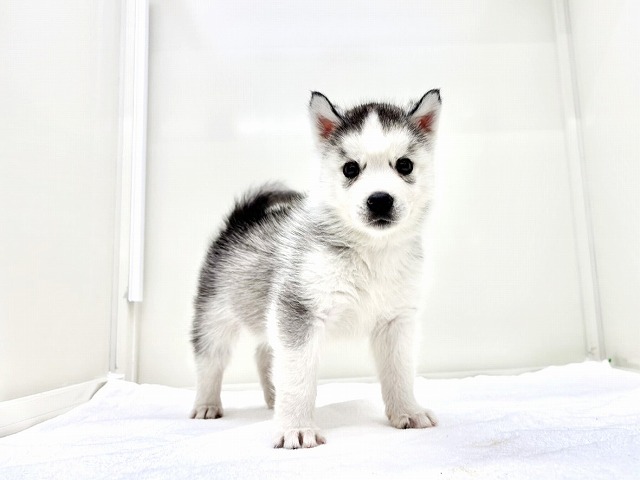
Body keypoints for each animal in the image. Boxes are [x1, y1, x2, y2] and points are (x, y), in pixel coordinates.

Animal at [190, 90, 442, 449]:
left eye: (404, 165)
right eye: (350, 168)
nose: (380, 199)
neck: (370, 252)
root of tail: (241, 219)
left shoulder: (397, 320)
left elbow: (400, 371)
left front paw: (408, 411)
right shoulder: (298, 313)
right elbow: (297, 378)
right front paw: (295, 428)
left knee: (265, 354)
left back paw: (272, 399)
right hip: (216, 316)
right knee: (210, 360)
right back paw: (207, 404)